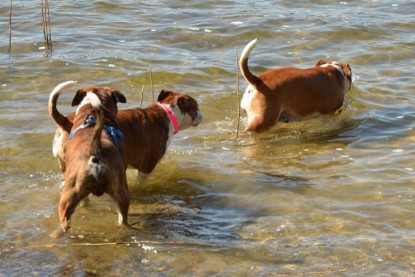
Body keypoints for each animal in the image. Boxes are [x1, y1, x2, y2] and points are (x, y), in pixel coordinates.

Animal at [52, 81, 130, 235]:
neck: (91, 112)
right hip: (121, 193)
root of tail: (96, 150)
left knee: (64, 222)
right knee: (122, 219)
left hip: (66, 198)